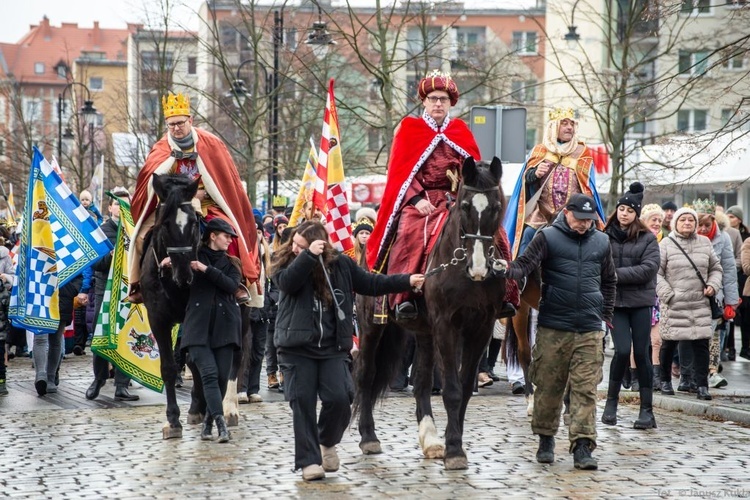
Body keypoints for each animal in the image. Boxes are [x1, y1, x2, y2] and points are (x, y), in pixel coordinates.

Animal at [356, 155, 508, 468]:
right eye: (465, 205)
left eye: (497, 207)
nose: (478, 268)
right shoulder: (446, 325)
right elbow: (451, 389)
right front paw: (455, 451)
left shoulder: (481, 327)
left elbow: (464, 389)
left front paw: (452, 442)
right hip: (371, 326)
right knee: (366, 374)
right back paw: (369, 437)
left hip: (424, 334)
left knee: (421, 382)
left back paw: (430, 439)